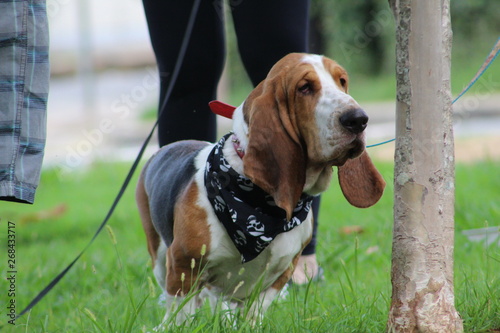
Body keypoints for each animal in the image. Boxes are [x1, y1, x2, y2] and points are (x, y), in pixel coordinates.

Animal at [137, 53, 386, 326]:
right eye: (305, 88)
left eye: (342, 81)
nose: (358, 119)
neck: (261, 205)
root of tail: (166, 148)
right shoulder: (184, 265)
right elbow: (180, 314)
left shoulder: (280, 274)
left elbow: (254, 310)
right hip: (160, 256)